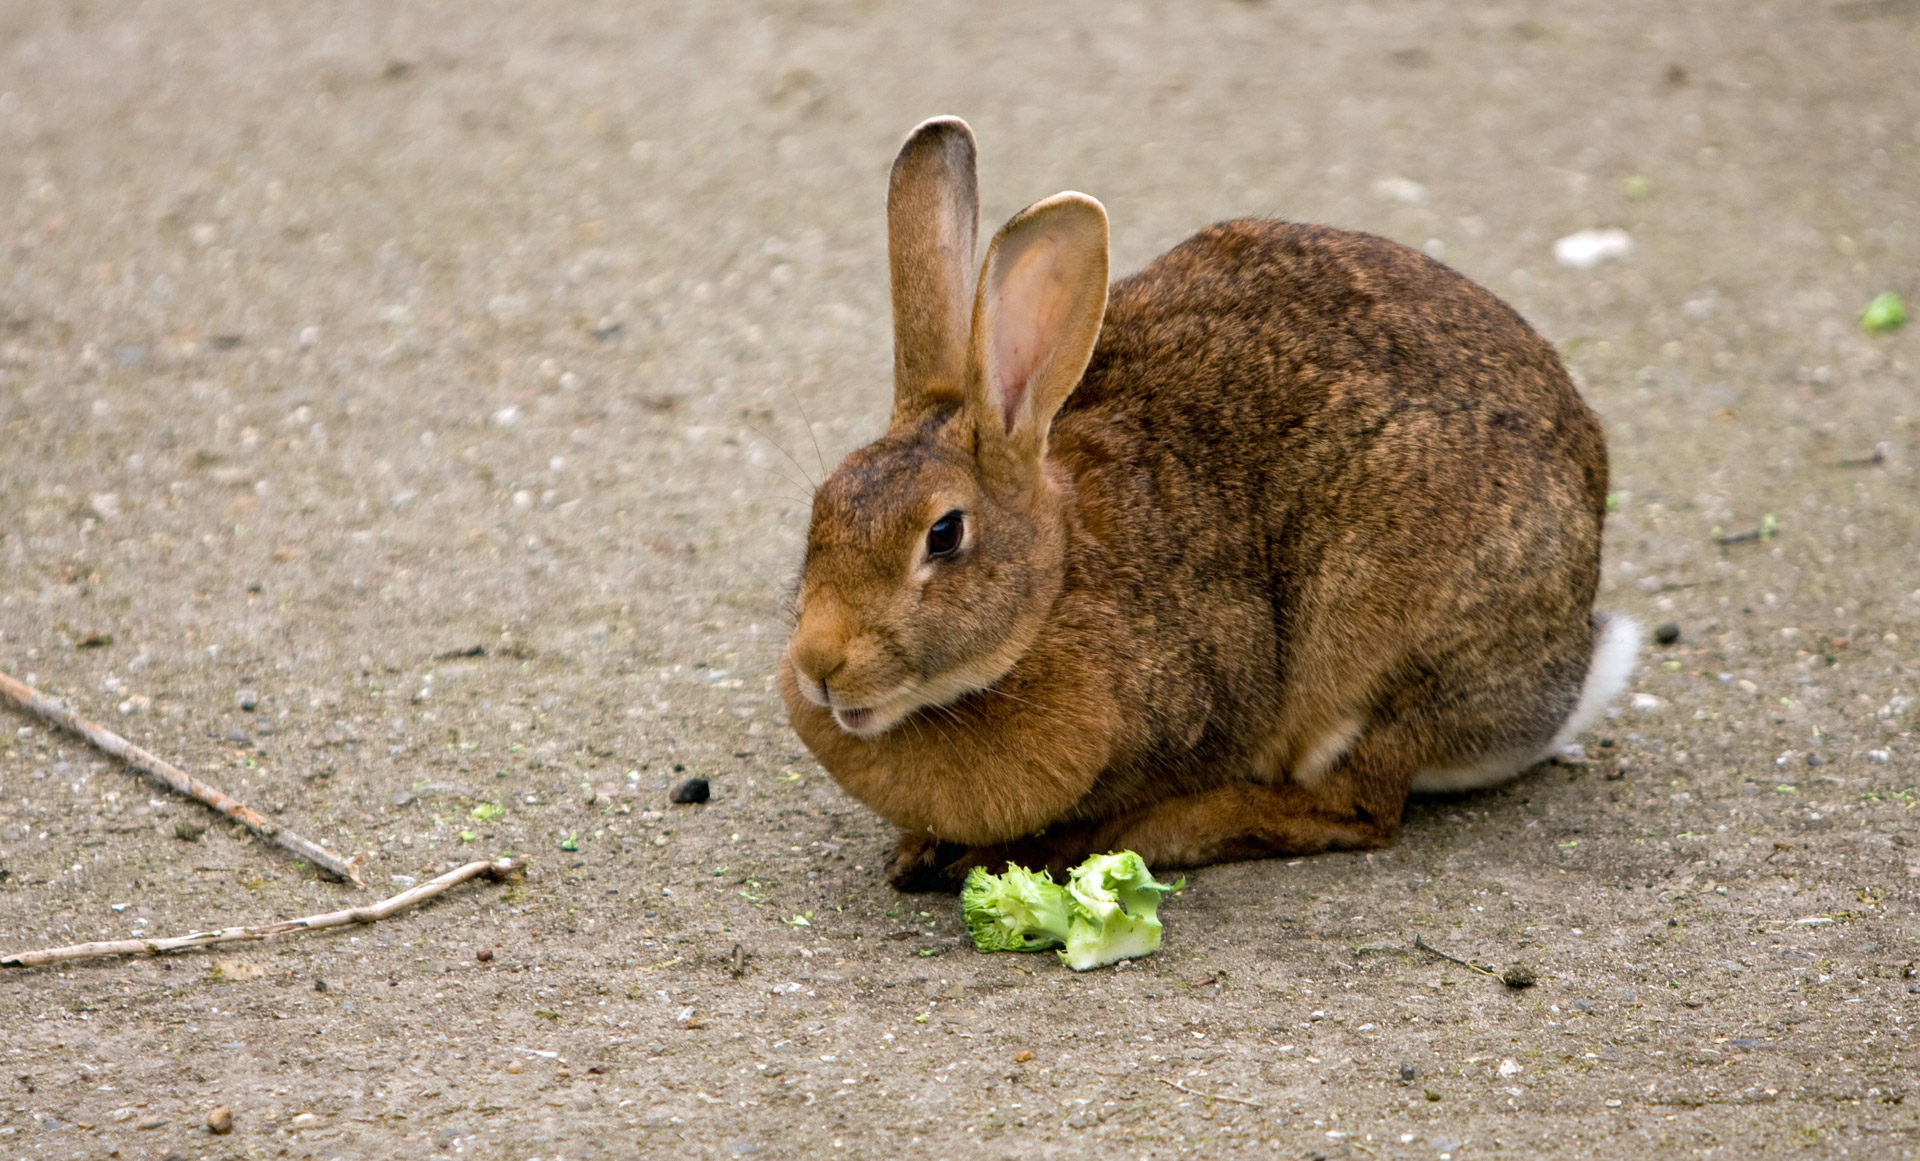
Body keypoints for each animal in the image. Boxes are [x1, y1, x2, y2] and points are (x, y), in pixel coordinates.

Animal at [779, 117, 1635, 890]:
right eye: (820, 511)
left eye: (945, 534)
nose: (818, 664)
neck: (1053, 591)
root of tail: (1567, 676)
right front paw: (920, 848)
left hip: (1380, 641)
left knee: (1358, 805)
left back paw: (1161, 831)